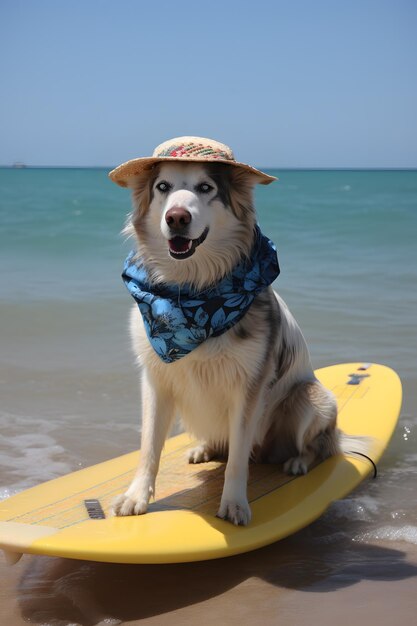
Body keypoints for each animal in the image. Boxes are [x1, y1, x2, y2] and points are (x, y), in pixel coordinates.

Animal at [109, 138, 340, 528]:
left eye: (206, 188)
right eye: (162, 187)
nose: (177, 217)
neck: (191, 293)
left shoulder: (249, 386)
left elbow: (237, 460)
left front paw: (234, 504)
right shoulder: (156, 378)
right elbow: (148, 445)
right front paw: (136, 496)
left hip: (312, 398)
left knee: (319, 446)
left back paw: (298, 461)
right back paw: (204, 448)